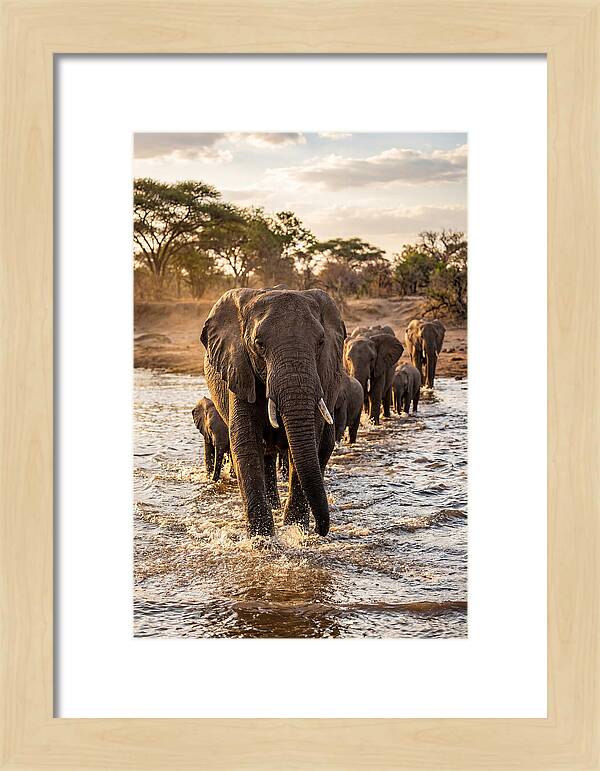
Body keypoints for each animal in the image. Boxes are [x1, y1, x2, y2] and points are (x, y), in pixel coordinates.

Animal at [200, 287, 346, 537]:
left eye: (320, 342)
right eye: (259, 344)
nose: (320, 530)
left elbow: (309, 443)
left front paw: (295, 531)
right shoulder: (239, 370)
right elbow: (246, 444)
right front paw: (262, 539)